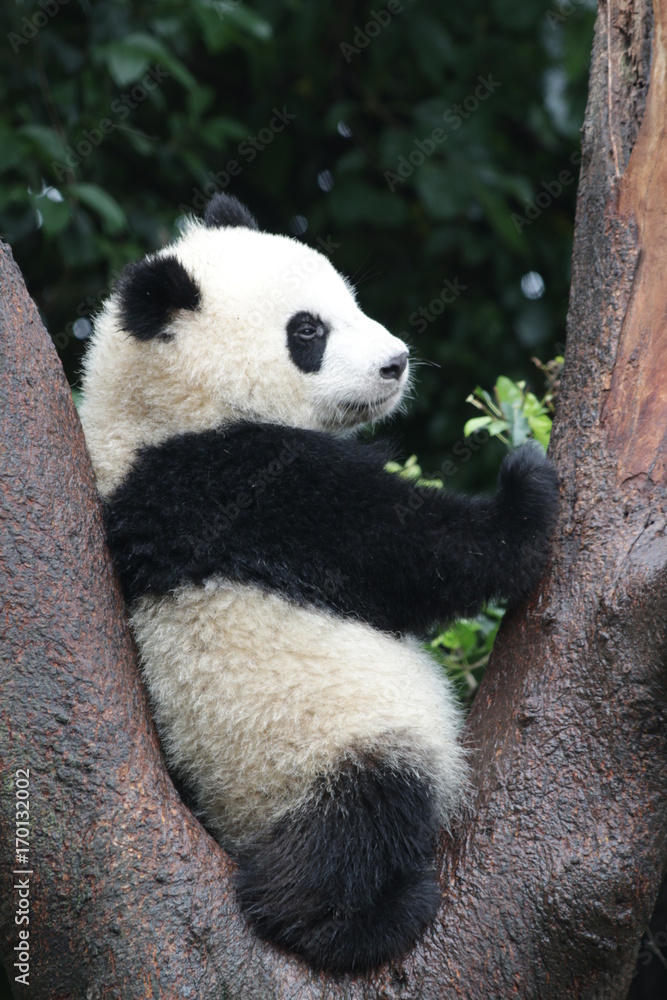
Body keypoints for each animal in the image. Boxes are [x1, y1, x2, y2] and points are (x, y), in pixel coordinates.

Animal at [79, 192, 558, 975]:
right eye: (307, 331)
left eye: (351, 299)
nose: (396, 363)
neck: (160, 413)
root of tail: (236, 831)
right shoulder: (236, 484)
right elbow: (409, 550)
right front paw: (526, 485)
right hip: (305, 749)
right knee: (360, 819)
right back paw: (352, 919)